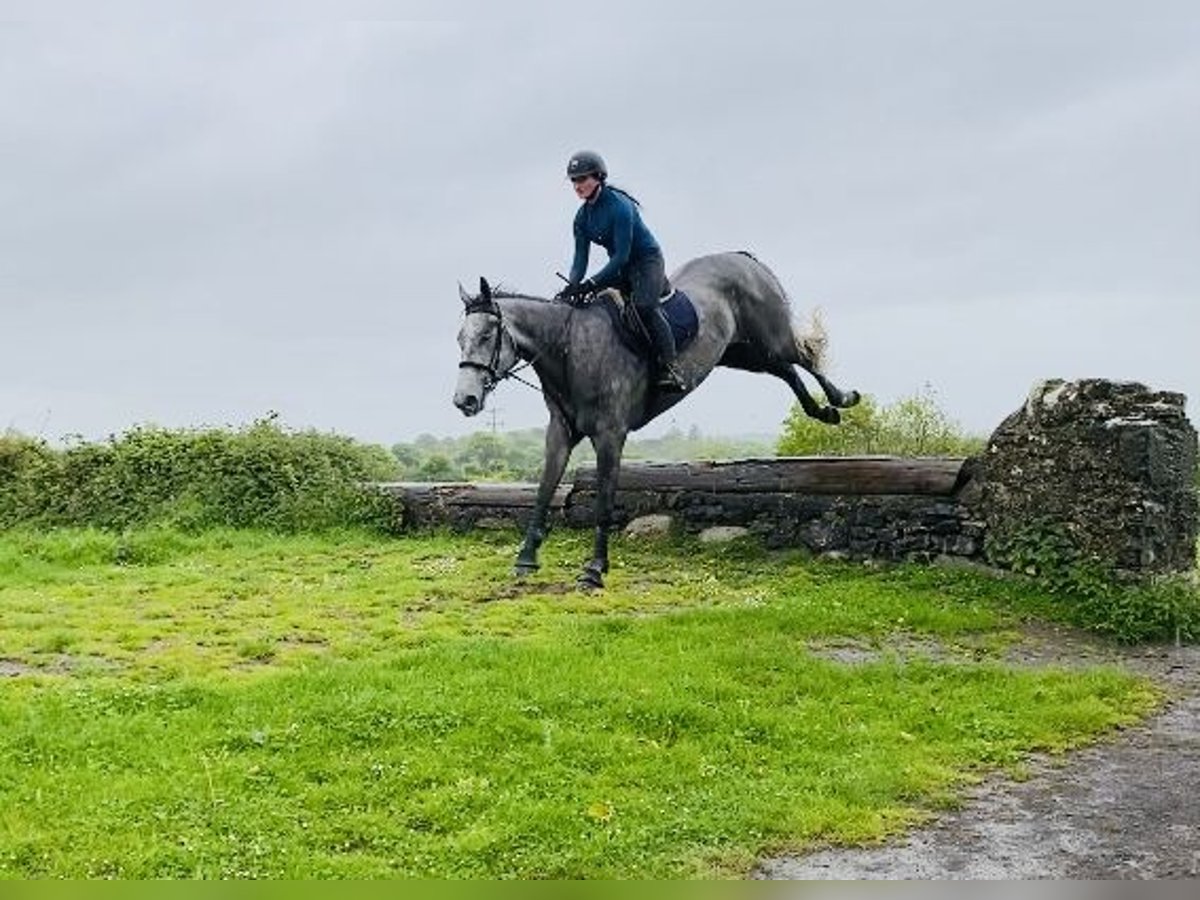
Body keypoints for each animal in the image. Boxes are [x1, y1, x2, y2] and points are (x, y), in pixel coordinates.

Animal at [451, 252, 864, 592]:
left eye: (486, 335)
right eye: (460, 339)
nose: (464, 401)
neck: (570, 349)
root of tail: (745, 258)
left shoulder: (610, 435)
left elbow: (604, 502)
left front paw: (594, 570)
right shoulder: (560, 433)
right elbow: (542, 492)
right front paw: (526, 559)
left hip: (769, 338)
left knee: (801, 357)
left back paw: (843, 399)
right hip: (741, 353)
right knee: (785, 370)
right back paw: (823, 411)